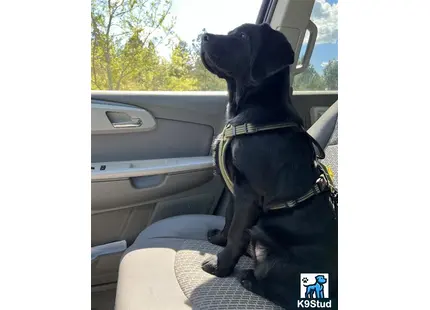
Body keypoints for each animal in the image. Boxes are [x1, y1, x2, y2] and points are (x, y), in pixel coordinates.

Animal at [200, 23, 338, 308]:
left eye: (243, 36)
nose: (203, 36)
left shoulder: (249, 194)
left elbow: (237, 232)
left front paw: (220, 267)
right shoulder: (236, 191)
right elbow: (229, 221)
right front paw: (218, 240)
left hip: (280, 260)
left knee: (287, 292)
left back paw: (249, 278)